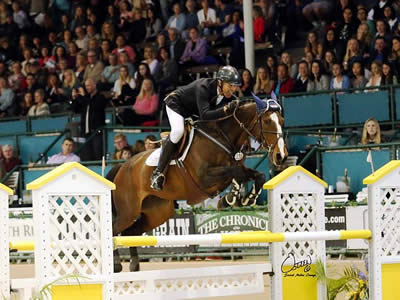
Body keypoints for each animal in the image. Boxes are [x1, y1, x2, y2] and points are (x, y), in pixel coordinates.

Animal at [108, 94, 288, 272]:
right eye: (267, 121)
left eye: (282, 120)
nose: (281, 156)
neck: (223, 137)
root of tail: (123, 166)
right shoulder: (205, 177)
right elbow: (236, 172)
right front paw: (232, 198)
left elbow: (256, 175)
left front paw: (242, 198)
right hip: (129, 211)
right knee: (115, 229)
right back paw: (116, 264)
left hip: (157, 212)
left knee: (131, 232)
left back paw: (134, 264)